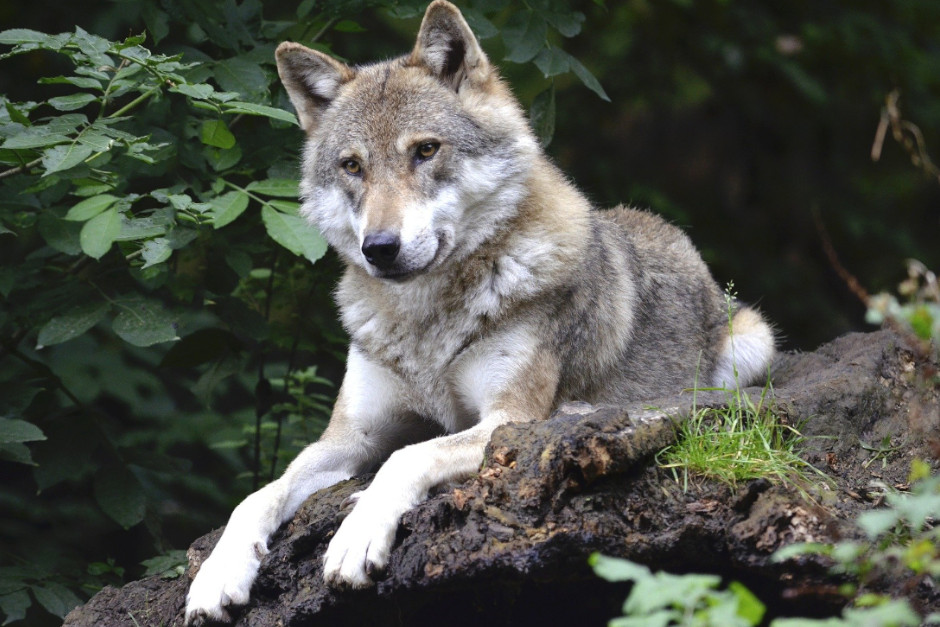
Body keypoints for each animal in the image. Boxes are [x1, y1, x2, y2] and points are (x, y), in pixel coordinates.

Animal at [184, 1, 775, 623]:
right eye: (352, 166)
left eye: (425, 150)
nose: (379, 248)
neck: (425, 324)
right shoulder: (349, 437)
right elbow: (258, 495)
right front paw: (217, 574)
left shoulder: (505, 420)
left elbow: (407, 457)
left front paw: (356, 535)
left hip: (751, 343)